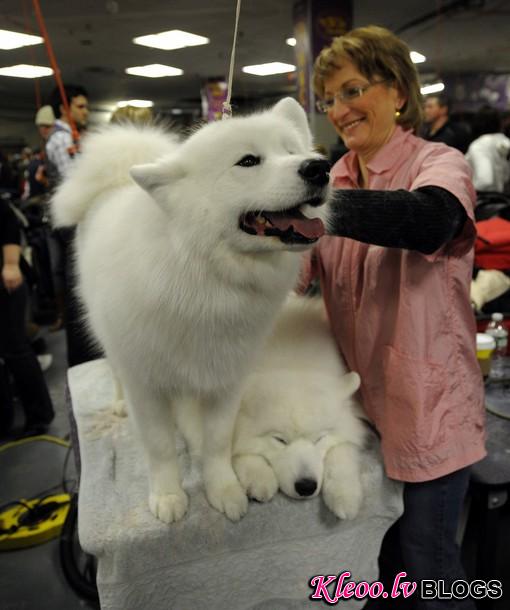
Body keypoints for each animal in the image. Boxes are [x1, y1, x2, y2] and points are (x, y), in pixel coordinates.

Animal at [51, 97, 330, 520]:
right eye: (249, 161)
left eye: (293, 151)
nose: (319, 167)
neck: (205, 272)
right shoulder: (146, 383)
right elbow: (160, 446)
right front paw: (168, 496)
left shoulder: (227, 378)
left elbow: (217, 442)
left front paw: (224, 489)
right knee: (115, 372)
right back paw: (118, 404)